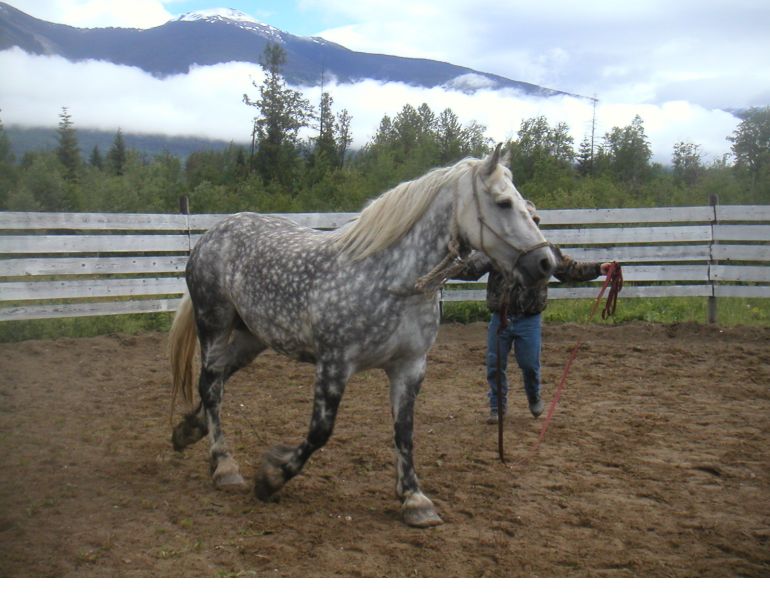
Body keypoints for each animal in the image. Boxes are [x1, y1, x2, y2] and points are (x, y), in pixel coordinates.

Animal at [169, 144, 556, 527]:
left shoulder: (410, 368)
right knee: (211, 385)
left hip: (252, 338)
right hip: (214, 324)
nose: (545, 263)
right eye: (503, 203)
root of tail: (211, 234)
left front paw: (414, 499)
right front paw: (272, 478)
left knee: (219, 380)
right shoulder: (334, 364)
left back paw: (189, 431)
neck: (390, 280)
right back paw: (223, 465)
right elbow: (320, 431)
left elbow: (404, 431)